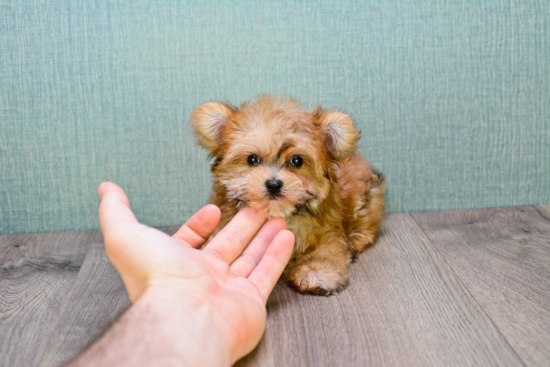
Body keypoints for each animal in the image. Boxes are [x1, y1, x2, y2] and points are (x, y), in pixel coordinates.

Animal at [192, 95, 386, 296]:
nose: (273, 184)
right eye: (252, 159)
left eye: (296, 161)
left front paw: (317, 272)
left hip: (367, 200)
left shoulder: (328, 230)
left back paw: (355, 242)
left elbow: (326, 249)